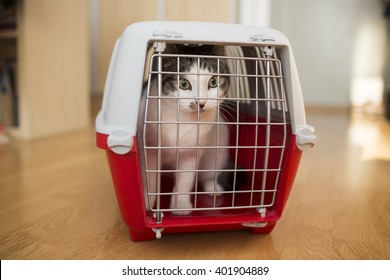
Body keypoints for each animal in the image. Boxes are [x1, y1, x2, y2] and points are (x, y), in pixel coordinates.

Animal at [145, 43, 233, 215]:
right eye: (184, 84)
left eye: (213, 81)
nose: (202, 102)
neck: (184, 121)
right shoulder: (150, 150)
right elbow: (150, 178)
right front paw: (148, 202)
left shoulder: (192, 152)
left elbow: (185, 179)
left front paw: (180, 205)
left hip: (218, 146)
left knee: (208, 174)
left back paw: (213, 188)